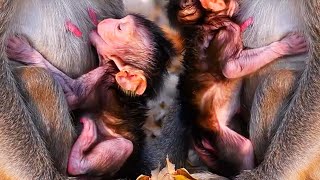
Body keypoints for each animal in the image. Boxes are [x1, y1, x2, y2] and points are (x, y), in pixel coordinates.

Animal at [5, 13, 175, 177]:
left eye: (120, 28)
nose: (107, 20)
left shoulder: (103, 74)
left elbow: (73, 96)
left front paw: (22, 50)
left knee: (124, 146)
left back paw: (81, 150)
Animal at [166, 0, 308, 176]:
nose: (237, 4)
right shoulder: (228, 32)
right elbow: (231, 68)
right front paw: (286, 46)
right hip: (220, 136)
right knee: (243, 149)